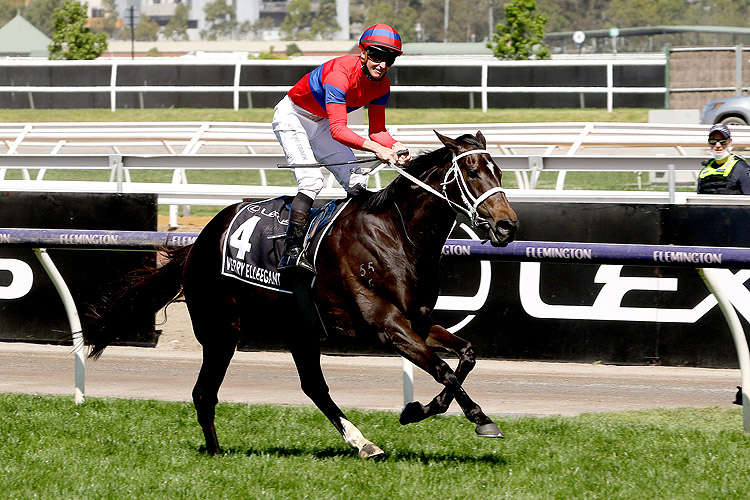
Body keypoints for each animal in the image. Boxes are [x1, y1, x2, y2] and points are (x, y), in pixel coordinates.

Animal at [82, 131, 516, 458]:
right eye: (472, 172)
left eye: (498, 170)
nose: (507, 226)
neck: (396, 236)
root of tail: (199, 242)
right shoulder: (388, 326)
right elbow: (443, 369)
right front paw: (480, 419)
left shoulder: (418, 321)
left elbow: (466, 354)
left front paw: (418, 409)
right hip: (221, 329)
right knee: (204, 392)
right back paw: (217, 453)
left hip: (299, 330)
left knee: (313, 387)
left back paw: (363, 443)